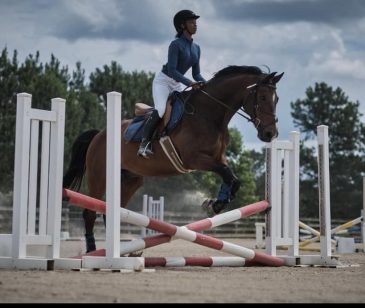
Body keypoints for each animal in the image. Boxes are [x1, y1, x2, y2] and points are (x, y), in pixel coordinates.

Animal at [63, 65, 284, 253]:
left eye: (277, 99)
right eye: (263, 97)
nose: (270, 134)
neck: (209, 114)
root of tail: (99, 135)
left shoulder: (218, 157)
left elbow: (232, 179)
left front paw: (215, 204)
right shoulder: (194, 159)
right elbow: (228, 175)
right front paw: (215, 204)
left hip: (130, 180)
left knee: (112, 211)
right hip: (99, 177)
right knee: (90, 212)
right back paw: (92, 250)